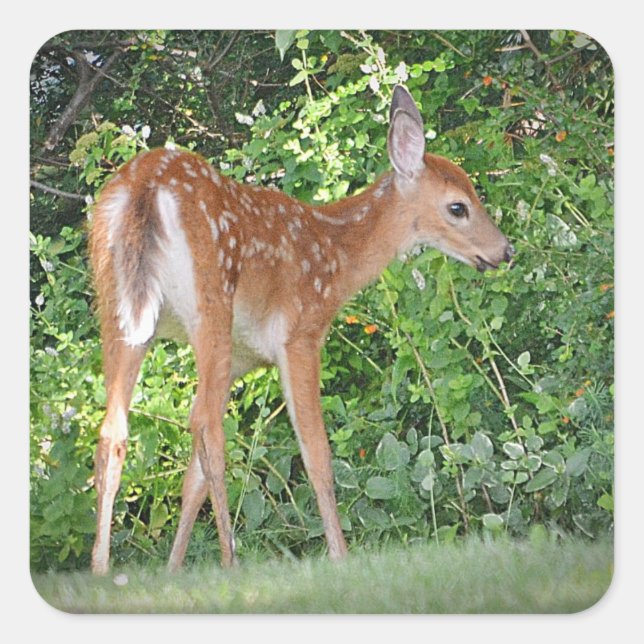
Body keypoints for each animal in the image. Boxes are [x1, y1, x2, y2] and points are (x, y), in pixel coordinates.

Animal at [88, 85, 514, 575]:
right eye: (458, 206)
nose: (505, 251)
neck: (335, 256)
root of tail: (145, 186)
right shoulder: (301, 333)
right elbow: (317, 452)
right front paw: (340, 554)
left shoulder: (243, 359)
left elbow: (192, 481)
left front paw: (173, 569)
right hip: (210, 300)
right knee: (206, 426)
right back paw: (230, 561)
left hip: (117, 309)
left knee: (113, 432)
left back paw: (101, 568)